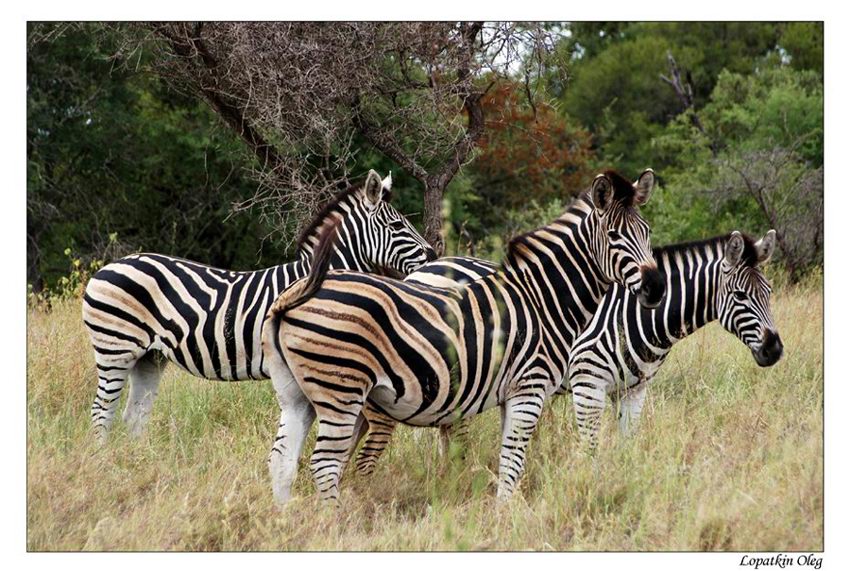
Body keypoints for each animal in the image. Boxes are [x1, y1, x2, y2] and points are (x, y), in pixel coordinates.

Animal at [83, 169, 434, 438]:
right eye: (397, 227)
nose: (433, 254)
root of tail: (106, 268)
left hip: (149, 356)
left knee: (133, 414)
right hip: (116, 348)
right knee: (101, 412)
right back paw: (105, 461)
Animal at [262, 168, 664, 502]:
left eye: (647, 232)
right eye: (614, 236)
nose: (655, 288)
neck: (542, 298)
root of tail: (299, 291)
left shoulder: (511, 394)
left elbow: (509, 459)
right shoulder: (529, 388)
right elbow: (513, 460)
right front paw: (505, 516)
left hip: (297, 395)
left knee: (281, 459)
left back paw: (286, 519)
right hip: (341, 390)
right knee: (324, 464)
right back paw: (335, 520)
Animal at [350, 231, 780, 474]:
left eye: (770, 292)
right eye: (741, 295)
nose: (774, 350)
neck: (639, 314)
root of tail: (423, 269)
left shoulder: (634, 389)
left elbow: (627, 443)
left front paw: (622, 482)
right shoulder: (589, 380)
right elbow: (590, 447)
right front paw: (588, 486)